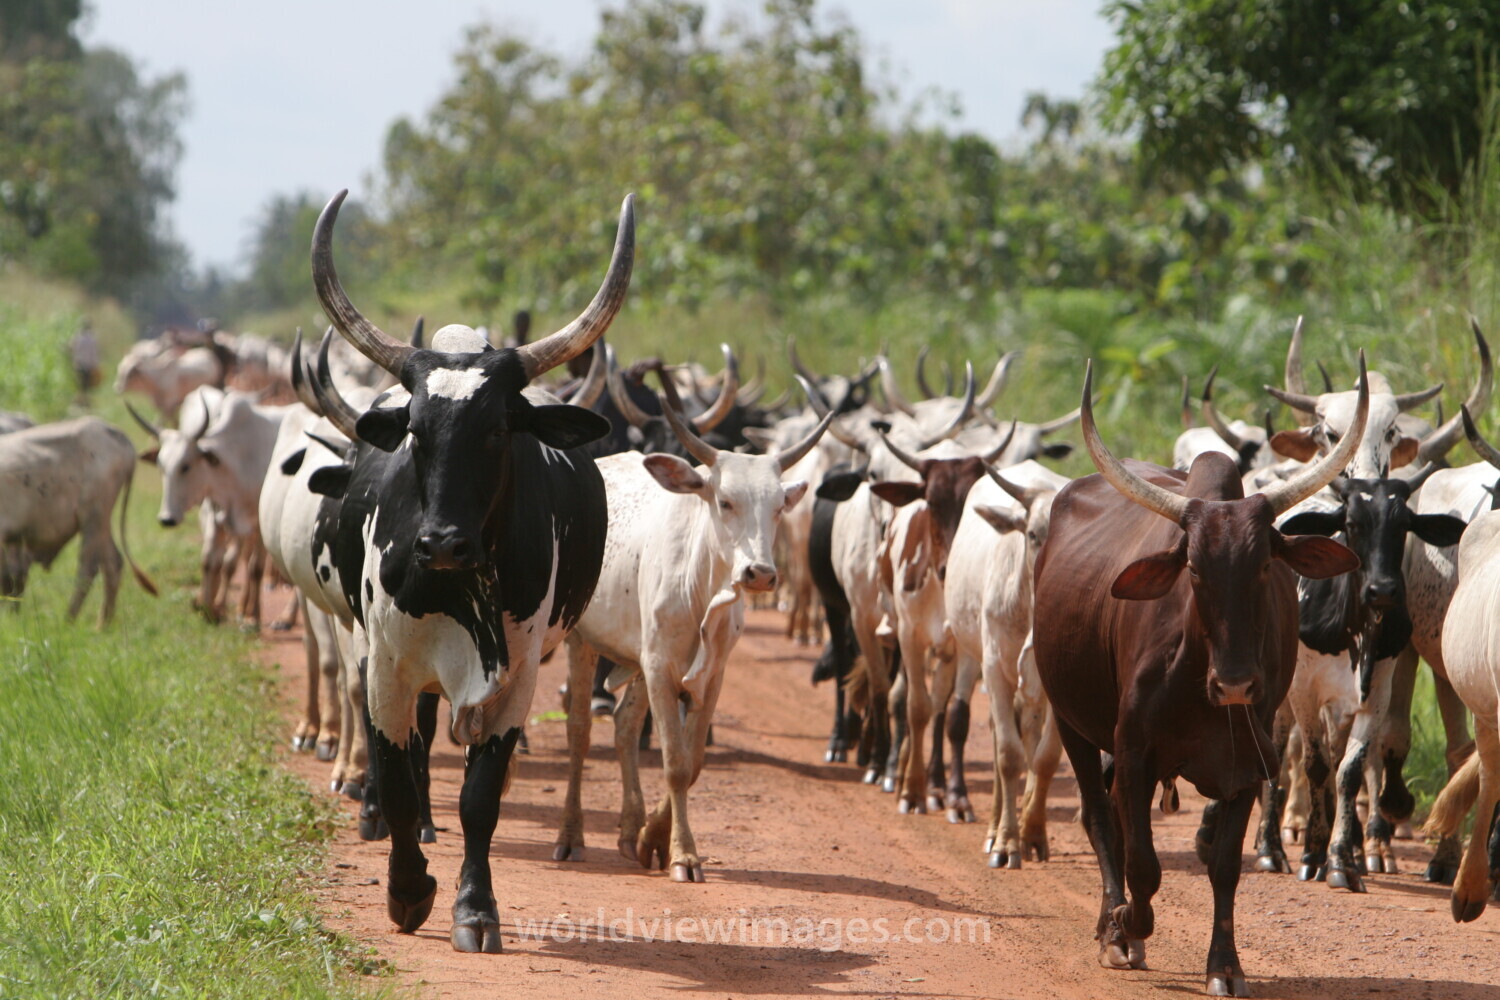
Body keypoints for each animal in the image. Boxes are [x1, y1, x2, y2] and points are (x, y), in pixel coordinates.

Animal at [0, 417, 156, 624]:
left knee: (87, 568)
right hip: (100, 522)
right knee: (112, 563)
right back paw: (103, 624)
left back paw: (69, 620)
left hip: (93, 516)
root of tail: (110, 430)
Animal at [309, 188, 631, 952]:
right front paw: (406, 890)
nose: (444, 545)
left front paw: (474, 908)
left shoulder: (516, 678)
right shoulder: (387, 667)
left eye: (496, 430)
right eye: (417, 433)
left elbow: (481, 798)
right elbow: (398, 778)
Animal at [554, 384, 831, 880]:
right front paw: (683, 854)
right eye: (725, 501)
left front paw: (652, 836)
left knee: (625, 726)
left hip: (638, 658)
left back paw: (629, 830)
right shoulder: (661, 668)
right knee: (580, 730)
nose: (760, 574)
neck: (704, 586)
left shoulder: (711, 673)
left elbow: (694, 760)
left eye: (779, 507)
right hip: (581, 640)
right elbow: (676, 764)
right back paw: (571, 835)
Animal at [1031, 359, 1367, 996]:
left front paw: (1225, 966)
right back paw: (1114, 927)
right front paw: (1125, 925)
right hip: (1072, 723)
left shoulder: (1249, 765)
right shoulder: (1133, 752)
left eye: (1264, 566)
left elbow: (1225, 868)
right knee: (1100, 818)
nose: (1234, 685)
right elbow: (1143, 865)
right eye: (1192, 567)